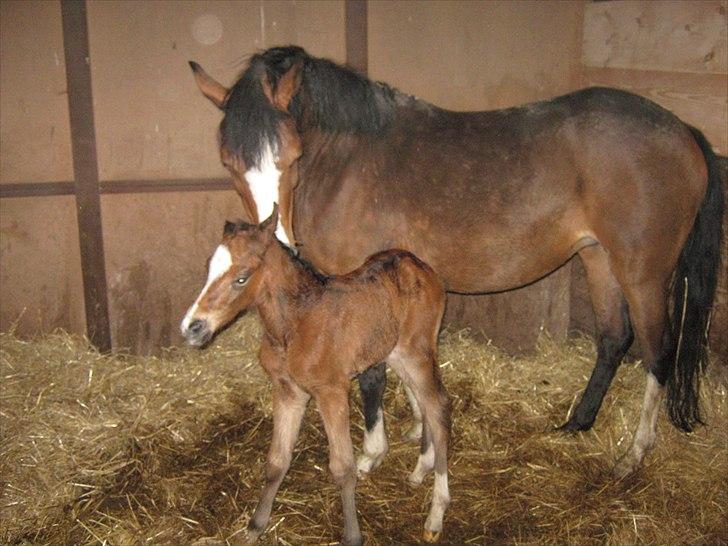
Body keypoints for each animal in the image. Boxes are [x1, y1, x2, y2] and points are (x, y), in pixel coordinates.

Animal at [181, 206, 450, 540]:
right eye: (208, 268)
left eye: (242, 278)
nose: (192, 328)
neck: (295, 324)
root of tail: (423, 268)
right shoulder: (288, 391)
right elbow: (277, 460)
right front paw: (255, 526)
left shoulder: (331, 391)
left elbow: (343, 468)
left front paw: (353, 536)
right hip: (396, 353)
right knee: (423, 402)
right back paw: (420, 471)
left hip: (417, 352)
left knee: (438, 406)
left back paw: (436, 514)